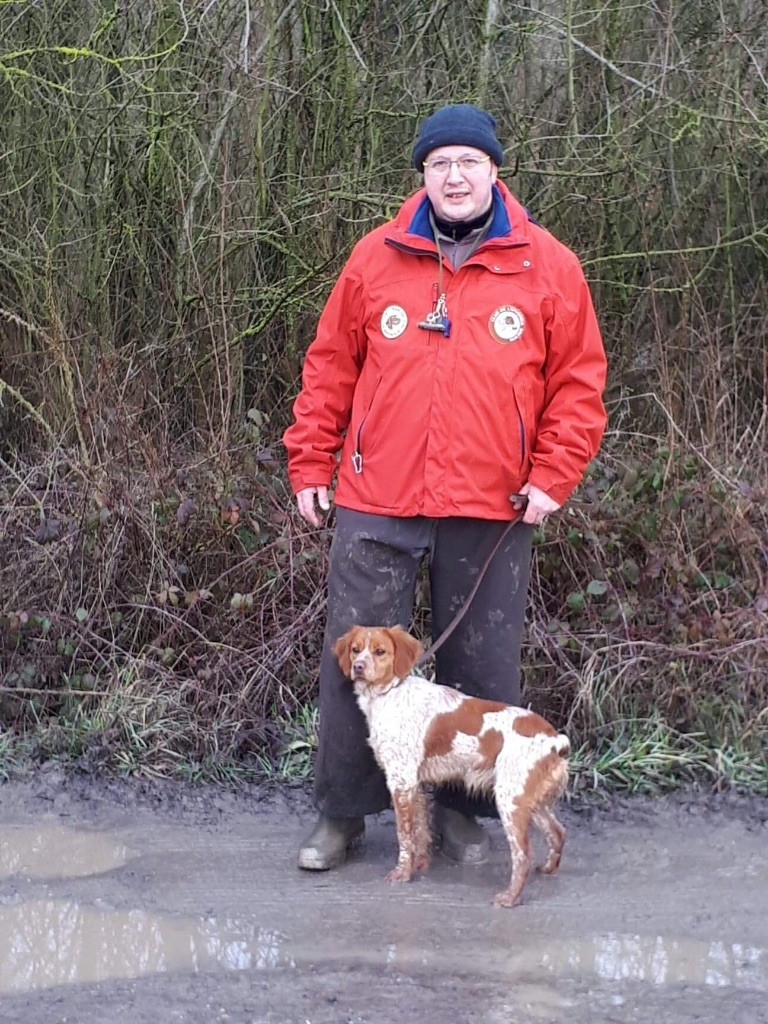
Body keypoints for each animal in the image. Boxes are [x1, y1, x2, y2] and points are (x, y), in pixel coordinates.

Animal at [335, 622, 573, 905]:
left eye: (380, 651)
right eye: (356, 649)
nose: (359, 666)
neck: (390, 693)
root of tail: (555, 738)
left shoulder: (401, 780)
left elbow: (404, 835)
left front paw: (402, 873)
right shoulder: (414, 782)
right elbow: (420, 830)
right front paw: (419, 865)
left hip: (510, 799)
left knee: (524, 854)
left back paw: (509, 898)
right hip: (529, 798)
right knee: (558, 831)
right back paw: (548, 868)